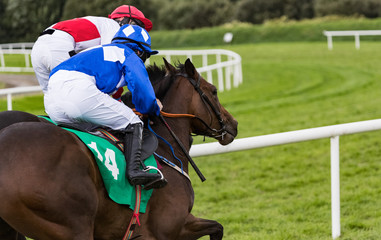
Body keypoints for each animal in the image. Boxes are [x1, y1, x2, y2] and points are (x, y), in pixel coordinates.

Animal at [0, 58, 238, 240]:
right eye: (214, 91)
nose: (233, 124)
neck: (164, 146)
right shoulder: (171, 228)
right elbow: (217, 228)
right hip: (71, 226)